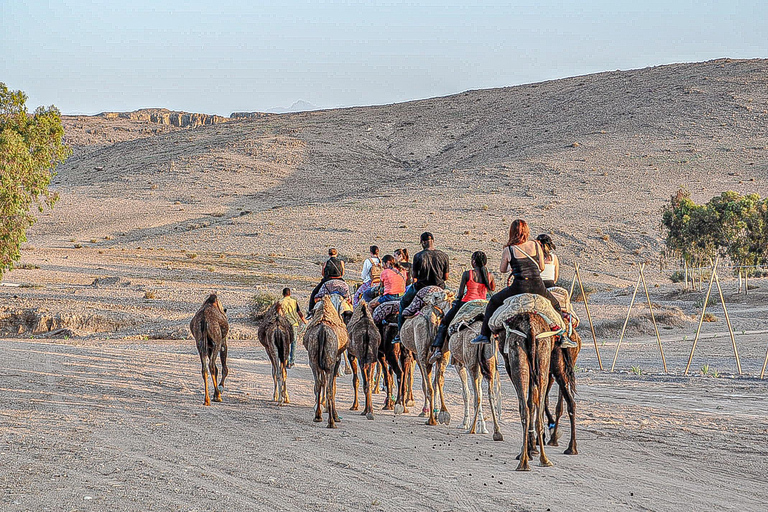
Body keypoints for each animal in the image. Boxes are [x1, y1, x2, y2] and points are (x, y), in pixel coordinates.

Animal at [304, 296, 348, 428]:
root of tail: (322, 331)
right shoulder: (336, 359)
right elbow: (333, 386)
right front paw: (335, 415)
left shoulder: (320, 364)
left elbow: (322, 382)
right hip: (330, 362)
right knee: (329, 387)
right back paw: (332, 422)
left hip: (313, 360)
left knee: (318, 383)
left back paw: (317, 416)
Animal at [400, 288, 452, 424]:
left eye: (436, 296)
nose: (425, 298)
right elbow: (436, 382)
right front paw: (436, 412)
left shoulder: (419, 356)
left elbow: (425, 385)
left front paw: (425, 411)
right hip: (443, 355)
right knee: (439, 381)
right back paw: (443, 413)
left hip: (422, 353)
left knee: (429, 388)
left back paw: (431, 420)